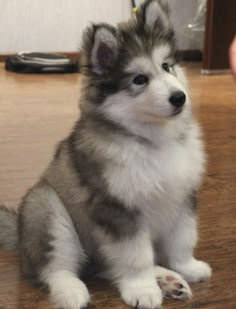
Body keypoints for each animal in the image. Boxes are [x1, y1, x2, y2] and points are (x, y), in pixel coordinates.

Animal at [0, 1, 212, 306]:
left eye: (166, 66)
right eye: (139, 80)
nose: (179, 97)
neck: (152, 140)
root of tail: (19, 235)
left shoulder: (182, 196)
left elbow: (182, 239)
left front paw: (187, 267)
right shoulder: (115, 207)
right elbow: (135, 257)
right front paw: (142, 289)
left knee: (108, 265)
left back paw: (168, 279)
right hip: (47, 208)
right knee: (55, 267)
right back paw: (72, 292)